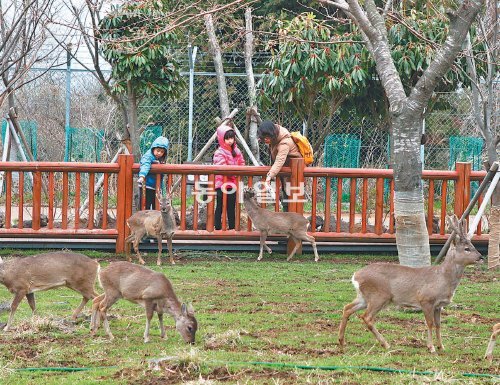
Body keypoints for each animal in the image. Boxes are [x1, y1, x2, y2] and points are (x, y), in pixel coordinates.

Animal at [338, 214, 482, 352]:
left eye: (473, 245)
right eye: (467, 248)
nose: (481, 257)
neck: (442, 278)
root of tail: (355, 276)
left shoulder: (438, 305)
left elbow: (438, 324)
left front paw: (441, 346)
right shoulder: (425, 299)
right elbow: (429, 323)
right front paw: (431, 347)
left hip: (364, 297)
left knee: (347, 308)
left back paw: (342, 341)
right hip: (379, 296)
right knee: (366, 317)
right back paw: (386, 344)